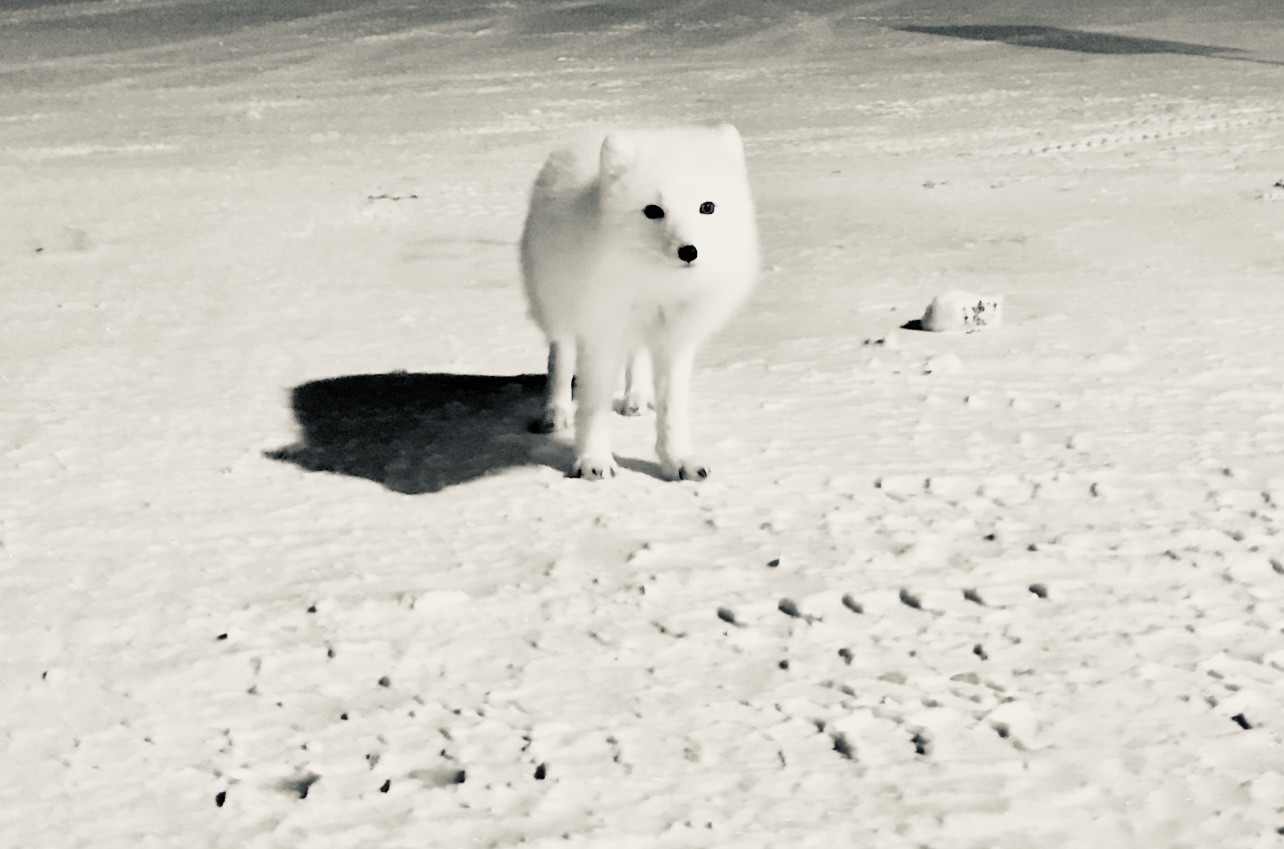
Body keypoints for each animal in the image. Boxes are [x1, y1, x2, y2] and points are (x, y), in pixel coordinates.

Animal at [519, 124, 759, 481]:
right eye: (653, 211)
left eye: (707, 207)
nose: (689, 251)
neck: (657, 285)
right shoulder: (601, 334)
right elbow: (593, 406)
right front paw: (593, 460)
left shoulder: (675, 339)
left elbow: (673, 408)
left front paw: (679, 460)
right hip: (558, 307)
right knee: (560, 357)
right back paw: (555, 412)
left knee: (637, 356)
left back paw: (637, 397)